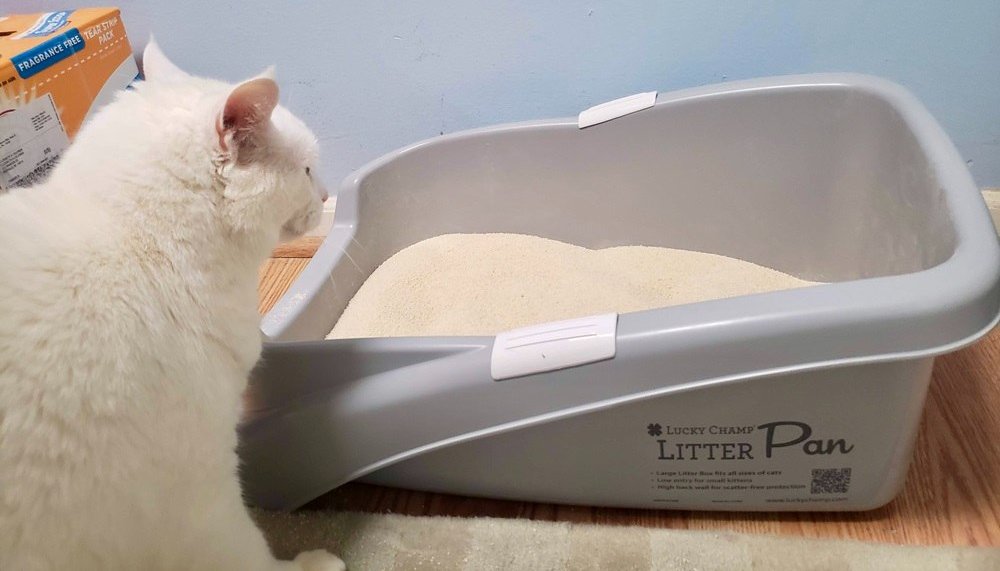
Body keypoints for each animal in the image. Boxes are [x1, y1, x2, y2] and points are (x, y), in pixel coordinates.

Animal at [0, 41, 348, 571]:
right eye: (308, 171)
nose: (328, 194)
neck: (144, 245)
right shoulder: (201, 491)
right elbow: (249, 551)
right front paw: (311, 564)